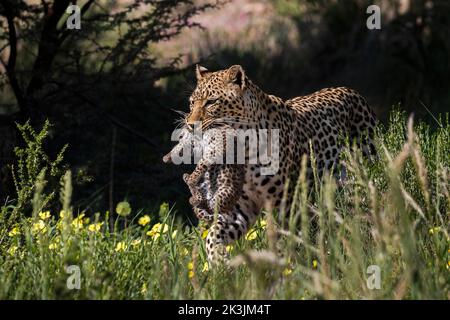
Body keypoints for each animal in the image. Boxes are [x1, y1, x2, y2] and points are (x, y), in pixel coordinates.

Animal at [183, 64, 376, 262]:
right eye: (192, 102)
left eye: (211, 102)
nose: (190, 124)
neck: (244, 148)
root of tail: (349, 89)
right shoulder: (240, 208)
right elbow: (212, 236)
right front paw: (219, 263)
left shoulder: (285, 203)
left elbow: (285, 238)